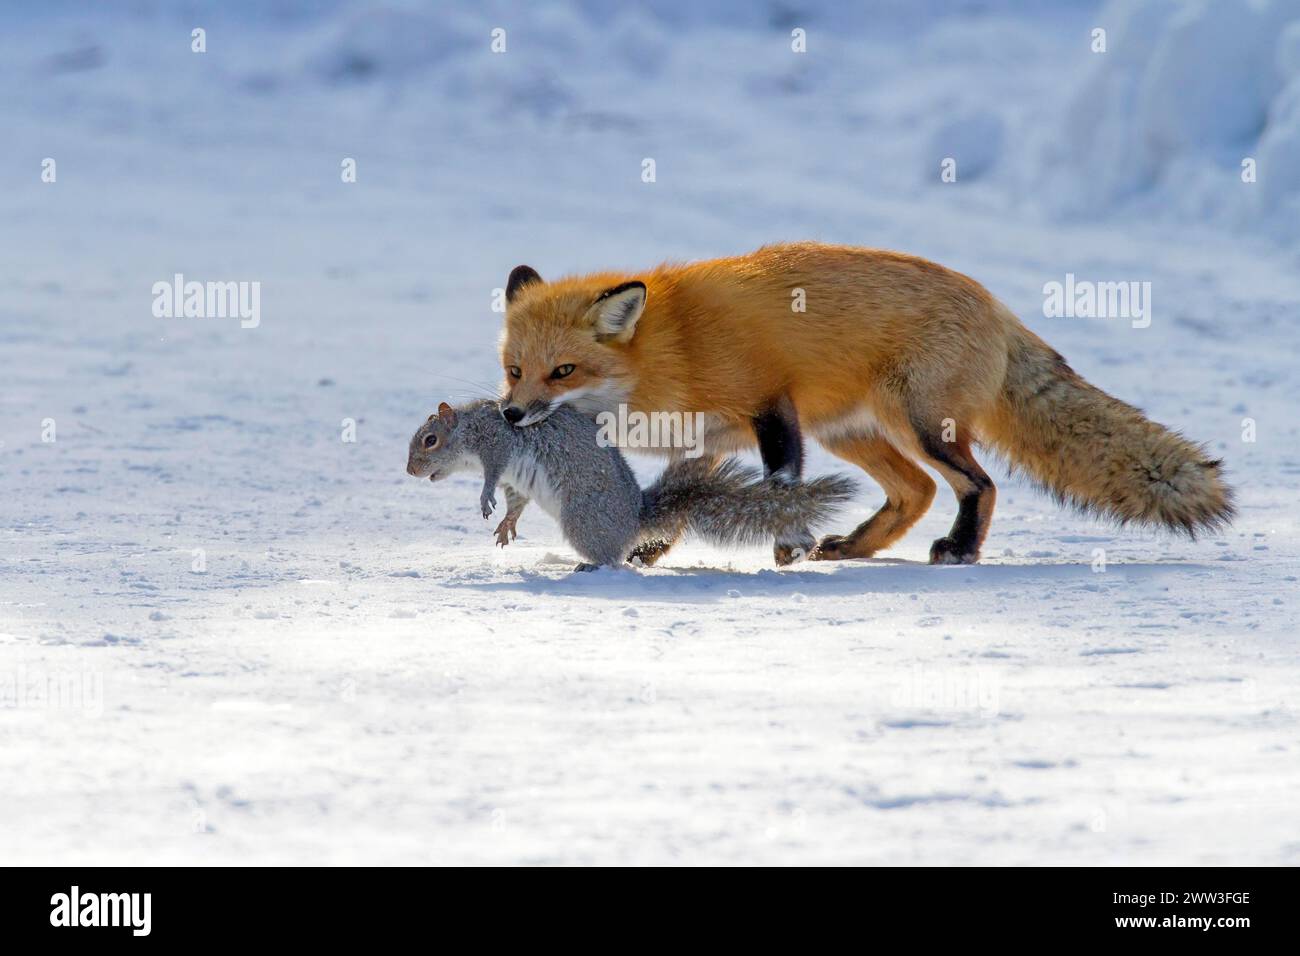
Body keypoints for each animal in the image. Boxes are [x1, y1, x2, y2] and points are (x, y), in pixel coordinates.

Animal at [405, 399, 856, 571]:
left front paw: (485, 500)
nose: (409, 471)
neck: (469, 429)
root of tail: (636, 518)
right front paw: (506, 526)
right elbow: (516, 501)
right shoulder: (515, 481)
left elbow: (492, 476)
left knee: (613, 559)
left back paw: (589, 565)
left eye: (430, 440)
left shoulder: (498, 446)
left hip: (582, 520)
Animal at [497, 241, 1234, 566]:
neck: (670, 349)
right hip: (853, 434)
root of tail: (997, 306)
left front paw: (784, 545)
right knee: (916, 492)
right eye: (514, 371)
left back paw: (959, 549)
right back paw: (853, 546)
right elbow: (682, 498)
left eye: (563, 371)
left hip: (918, 425)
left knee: (978, 484)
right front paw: (648, 551)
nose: (510, 415)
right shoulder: (708, 439)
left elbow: (781, 484)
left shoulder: (770, 405)